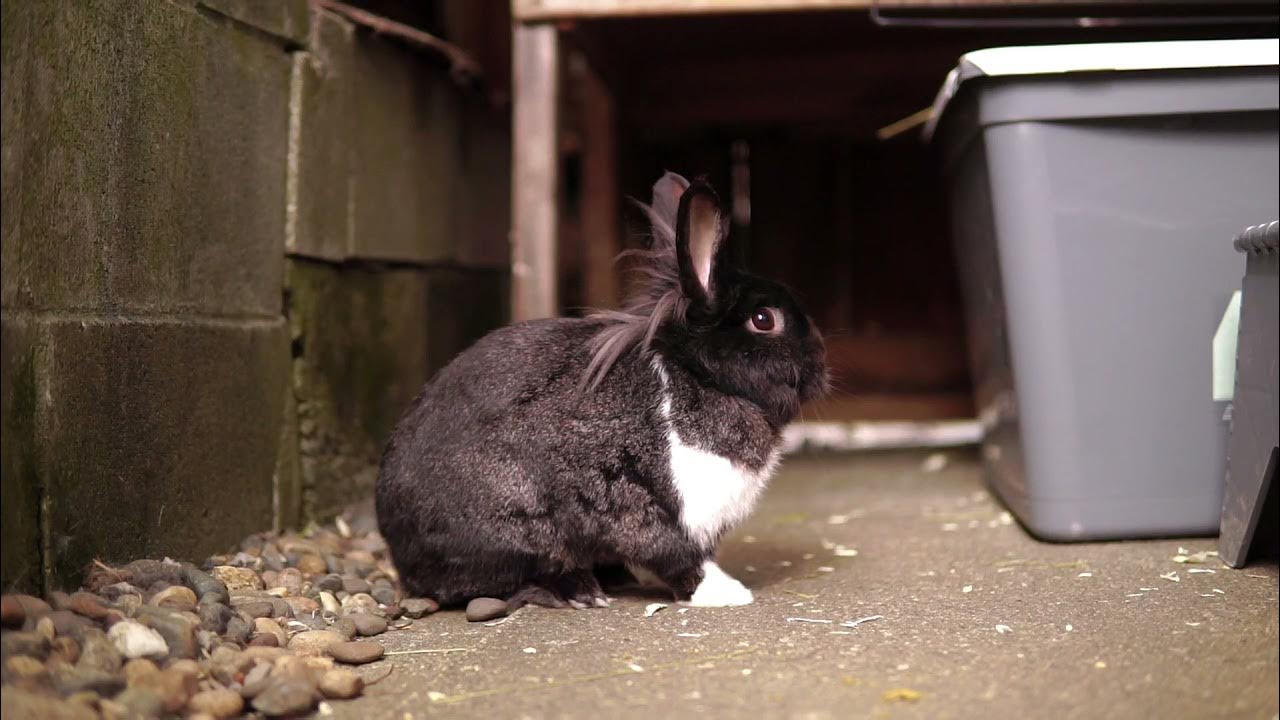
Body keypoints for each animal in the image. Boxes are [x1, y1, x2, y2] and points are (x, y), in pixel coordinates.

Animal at [375, 172, 827, 610]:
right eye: (763, 319)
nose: (821, 363)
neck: (697, 376)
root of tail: (400, 551)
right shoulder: (639, 505)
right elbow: (674, 554)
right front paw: (726, 593)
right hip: (512, 528)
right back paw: (574, 592)